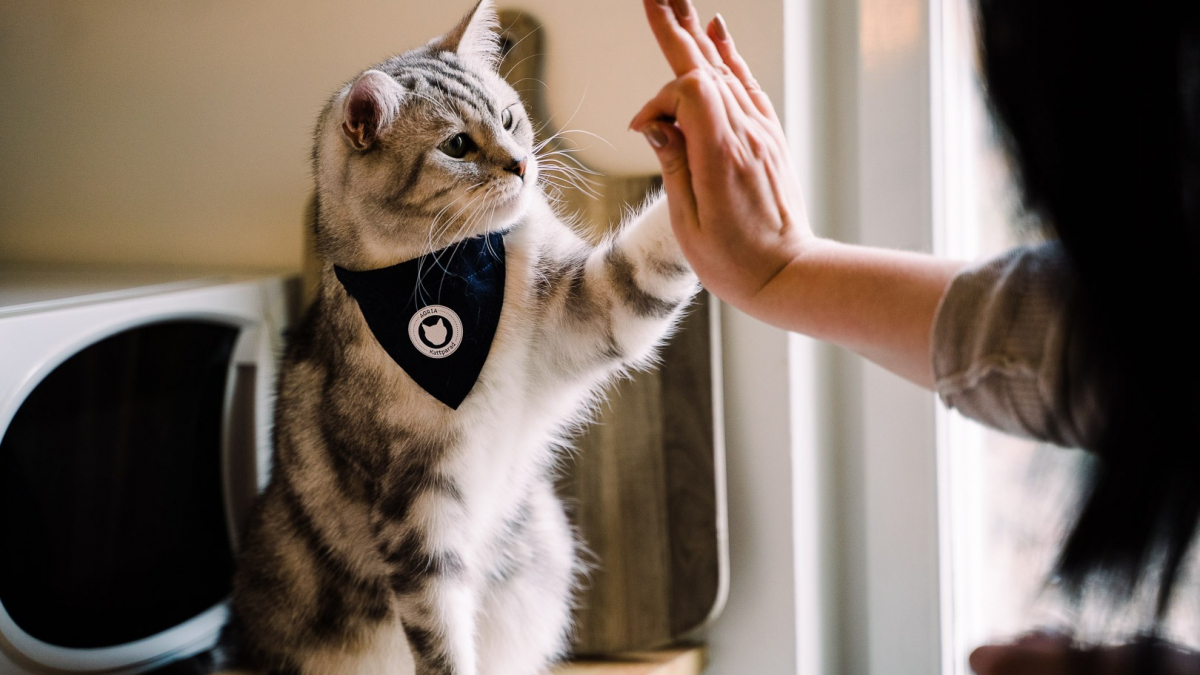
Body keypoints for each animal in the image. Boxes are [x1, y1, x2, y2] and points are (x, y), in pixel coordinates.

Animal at [229, 1, 700, 672]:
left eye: (508, 116)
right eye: (456, 145)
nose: (522, 164)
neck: (458, 273)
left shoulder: (592, 311)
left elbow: (652, 260)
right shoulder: (414, 505)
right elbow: (439, 631)